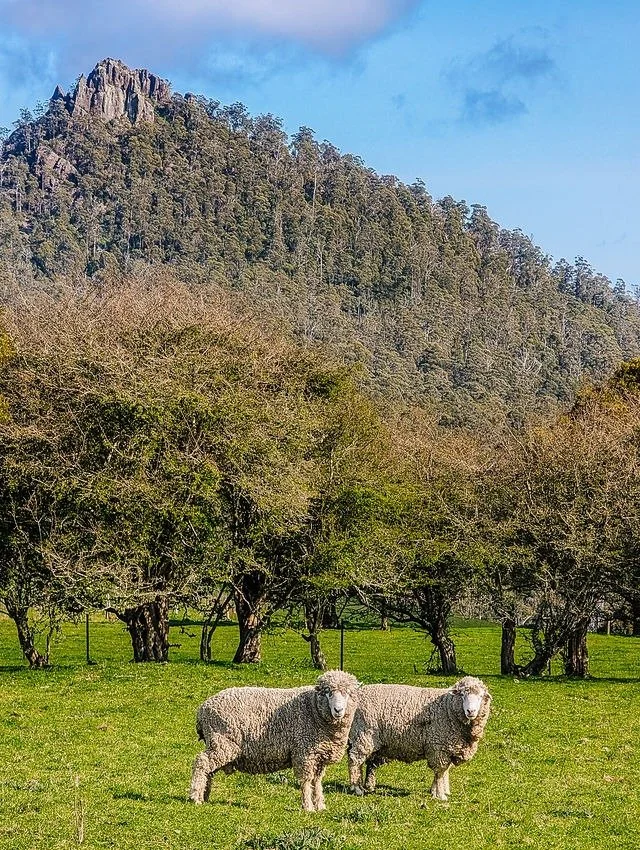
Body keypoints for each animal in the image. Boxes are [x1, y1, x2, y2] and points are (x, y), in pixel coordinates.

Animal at [189, 669, 360, 811]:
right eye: (328, 693)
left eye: (347, 693)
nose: (338, 710)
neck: (313, 709)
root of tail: (203, 709)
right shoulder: (304, 752)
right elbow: (306, 780)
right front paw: (308, 807)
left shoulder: (319, 756)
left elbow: (317, 782)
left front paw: (320, 805)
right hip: (222, 742)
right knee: (202, 762)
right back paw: (195, 797)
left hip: (218, 743)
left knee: (209, 770)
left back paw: (205, 795)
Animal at [347, 676, 491, 800]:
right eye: (461, 695)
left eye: (480, 696)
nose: (471, 711)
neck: (447, 708)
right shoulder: (438, 747)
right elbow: (440, 772)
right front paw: (440, 795)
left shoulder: (447, 748)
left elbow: (445, 771)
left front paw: (439, 791)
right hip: (363, 735)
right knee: (355, 761)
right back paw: (357, 788)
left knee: (368, 763)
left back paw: (368, 786)